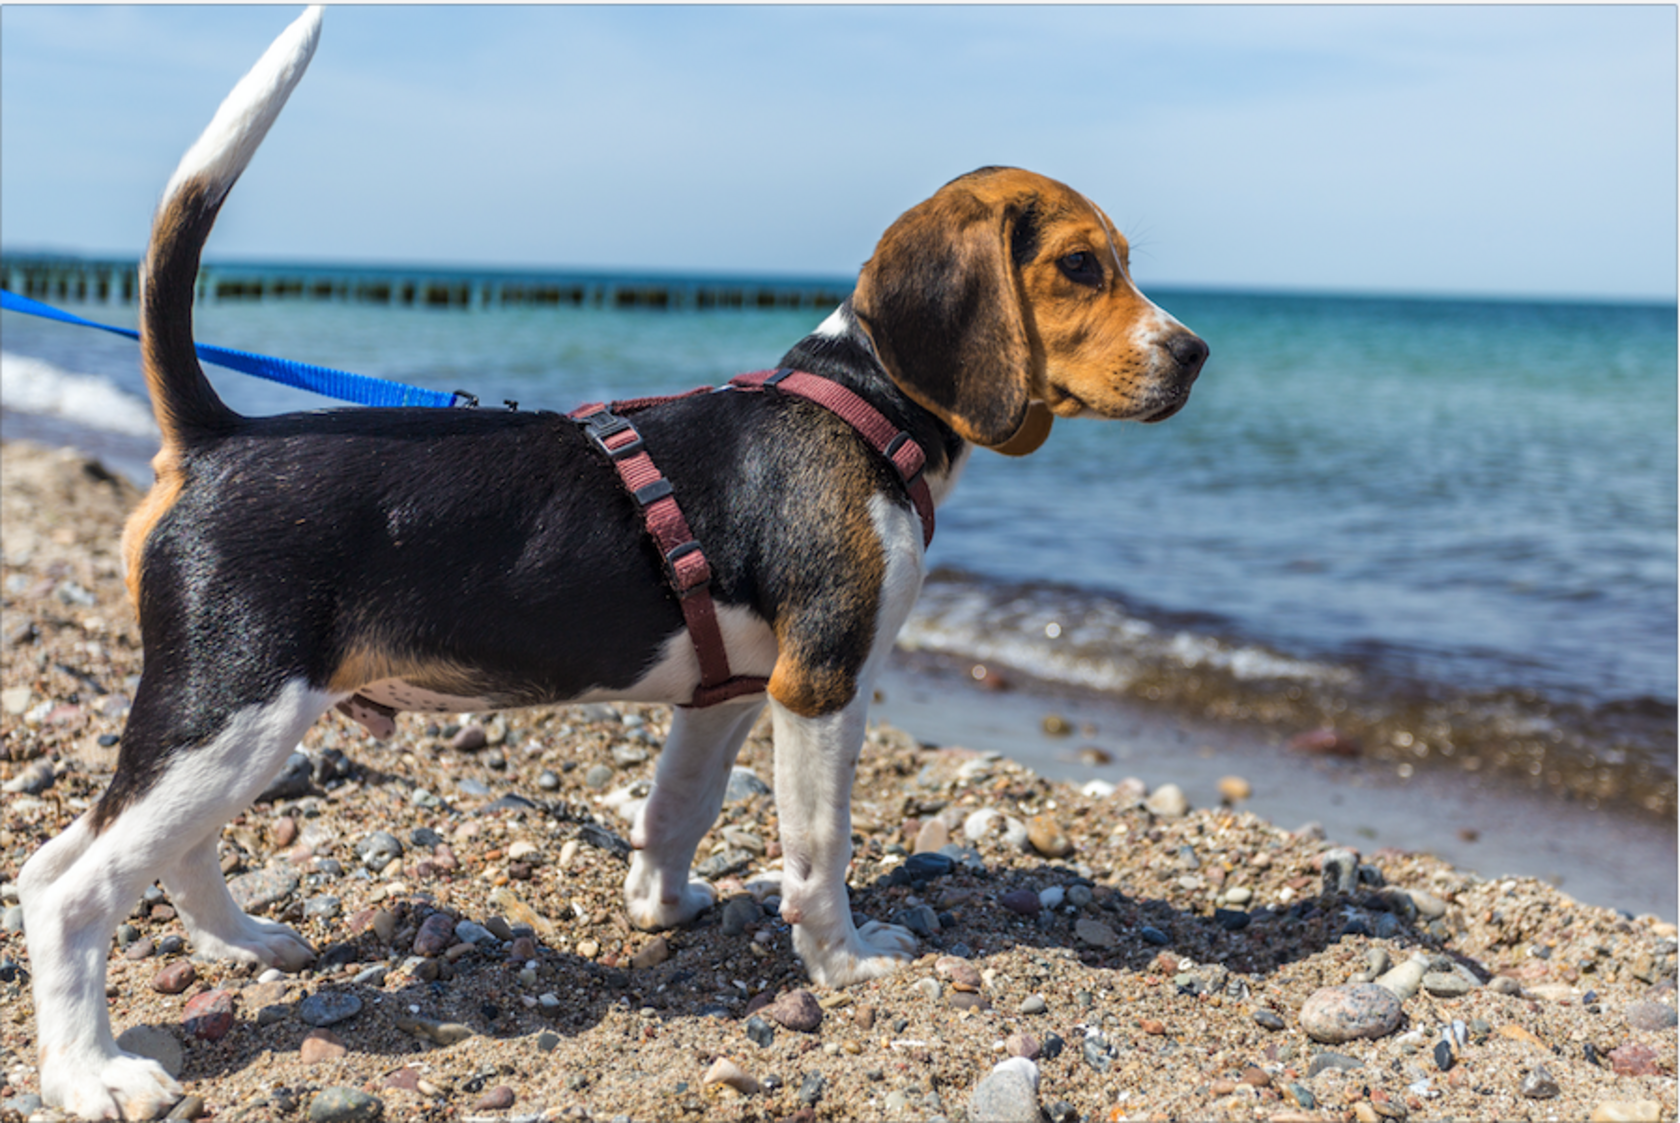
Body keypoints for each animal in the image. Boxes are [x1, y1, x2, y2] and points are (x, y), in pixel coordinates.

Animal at [19, 10, 1209, 1123]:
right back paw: (92, 1073)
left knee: (140, 854)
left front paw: (660, 909)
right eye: (1080, 266)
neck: (864, 404)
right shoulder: (823, 684)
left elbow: (678, 808)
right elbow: (817, 849)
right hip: (235, 707)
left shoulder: (730, 692)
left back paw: (242, 943)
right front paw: (846, 961)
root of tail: (220, 438)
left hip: (232, 724)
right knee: (66, 887)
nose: (1196, 354)